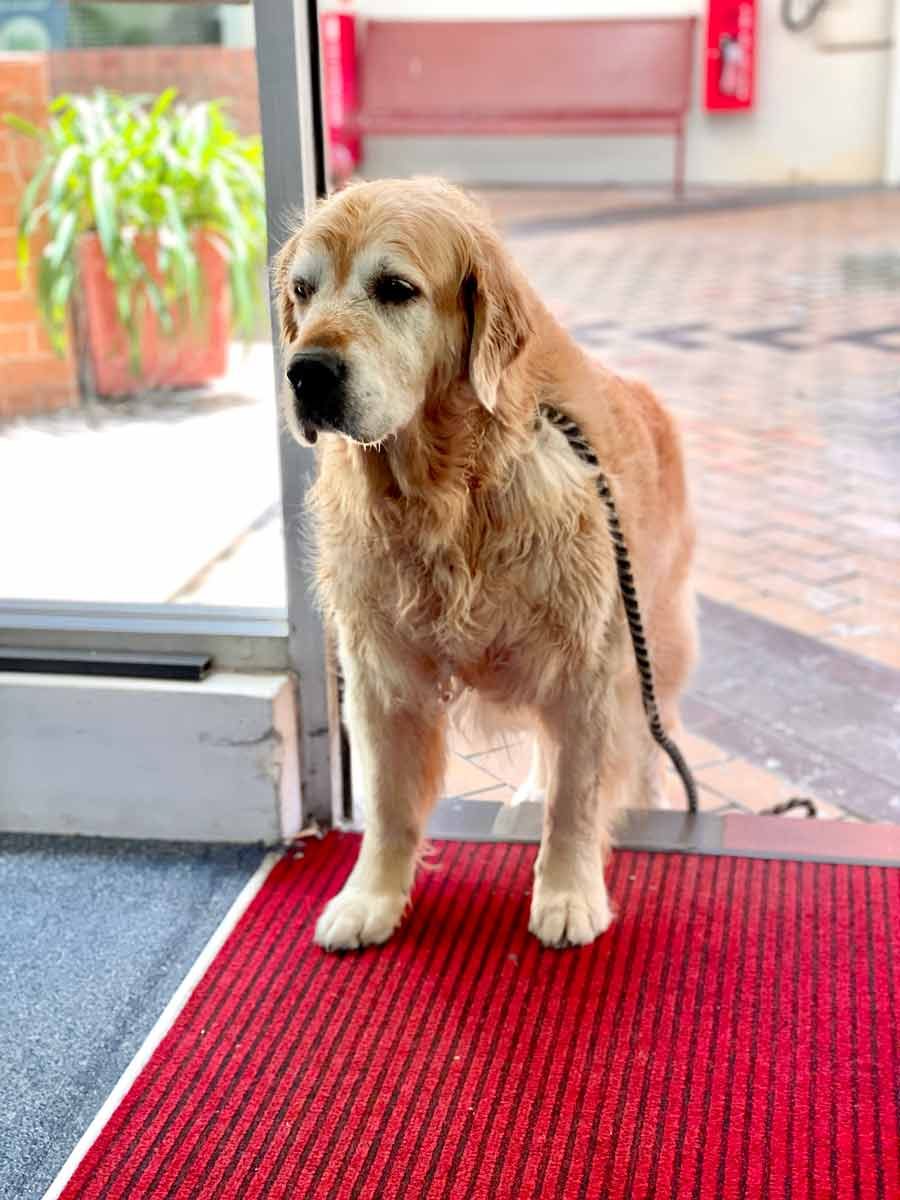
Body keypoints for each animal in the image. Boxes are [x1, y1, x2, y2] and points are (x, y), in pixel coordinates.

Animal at [273, 178, 696, 951]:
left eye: (396, 288)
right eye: (302, 291)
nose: (305, 374)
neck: (446, 495)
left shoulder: (588, 664)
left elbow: (577, 797)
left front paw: (568, 893)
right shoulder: (379, 670)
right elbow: (388, 804)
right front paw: (372, 897)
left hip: (654, 636)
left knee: (650, 736)